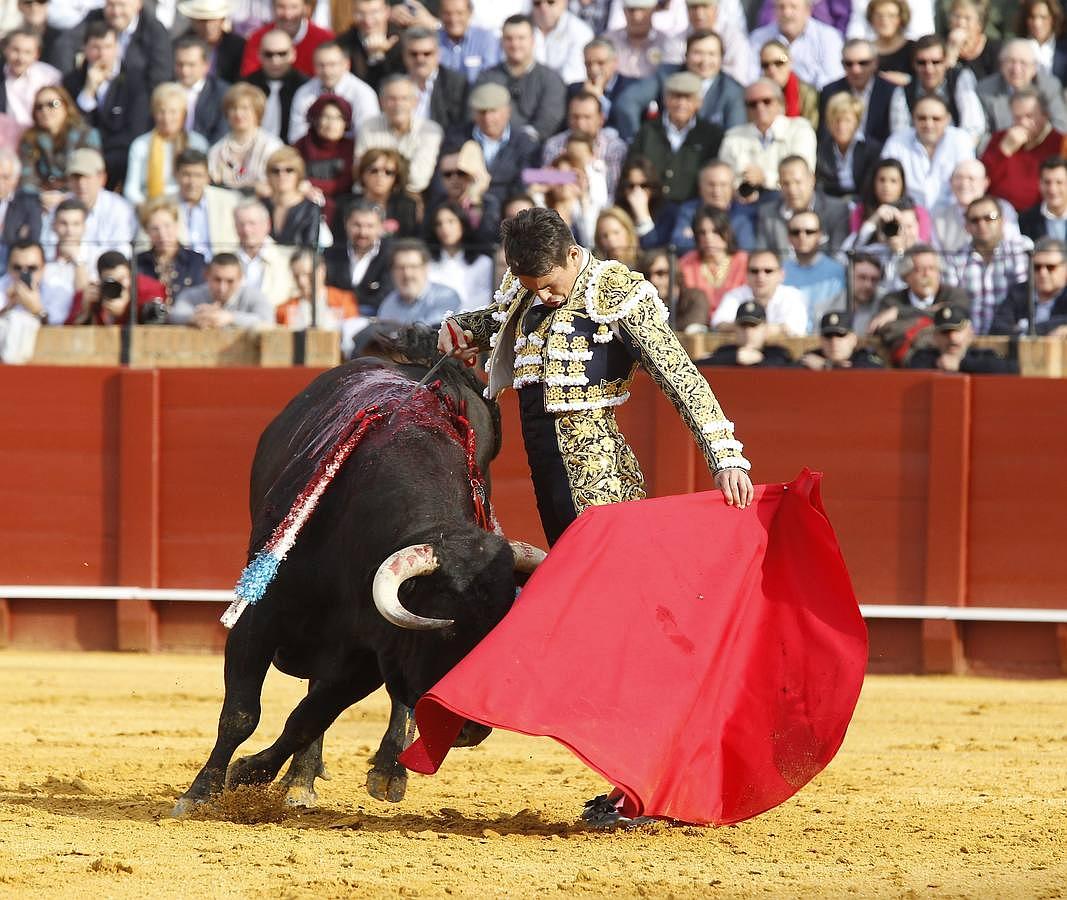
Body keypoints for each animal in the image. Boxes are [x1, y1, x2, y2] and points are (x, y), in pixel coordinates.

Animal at [177, 339, 542, 815]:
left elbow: (307, 718)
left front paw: (252, 774)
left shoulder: (369, 656)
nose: (470, 730)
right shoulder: (258, 618)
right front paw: (202, 792)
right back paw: (302, 778)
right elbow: (241, 713)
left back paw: (379, 771)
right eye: (445, 633)